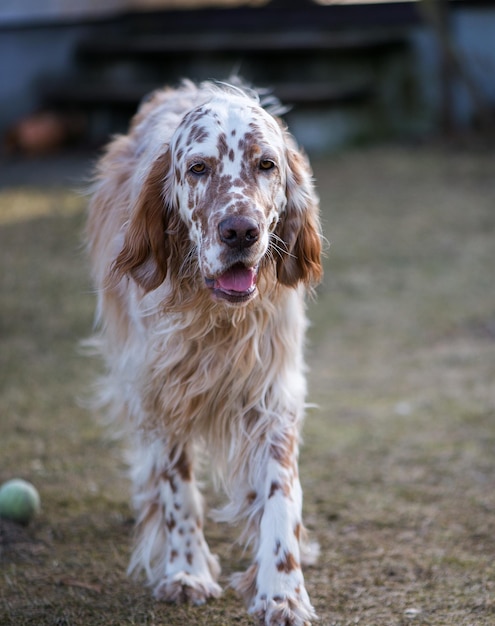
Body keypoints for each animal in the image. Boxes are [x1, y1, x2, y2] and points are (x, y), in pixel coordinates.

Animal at [87, 79, 324, 624]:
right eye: (198, 168)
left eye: (267, 164)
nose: (240, 231)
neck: (215, 317)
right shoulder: (161, 389)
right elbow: (177, 489)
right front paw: (185, 570)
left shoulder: (271, 393)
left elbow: (280, 491)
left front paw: (283, 590)